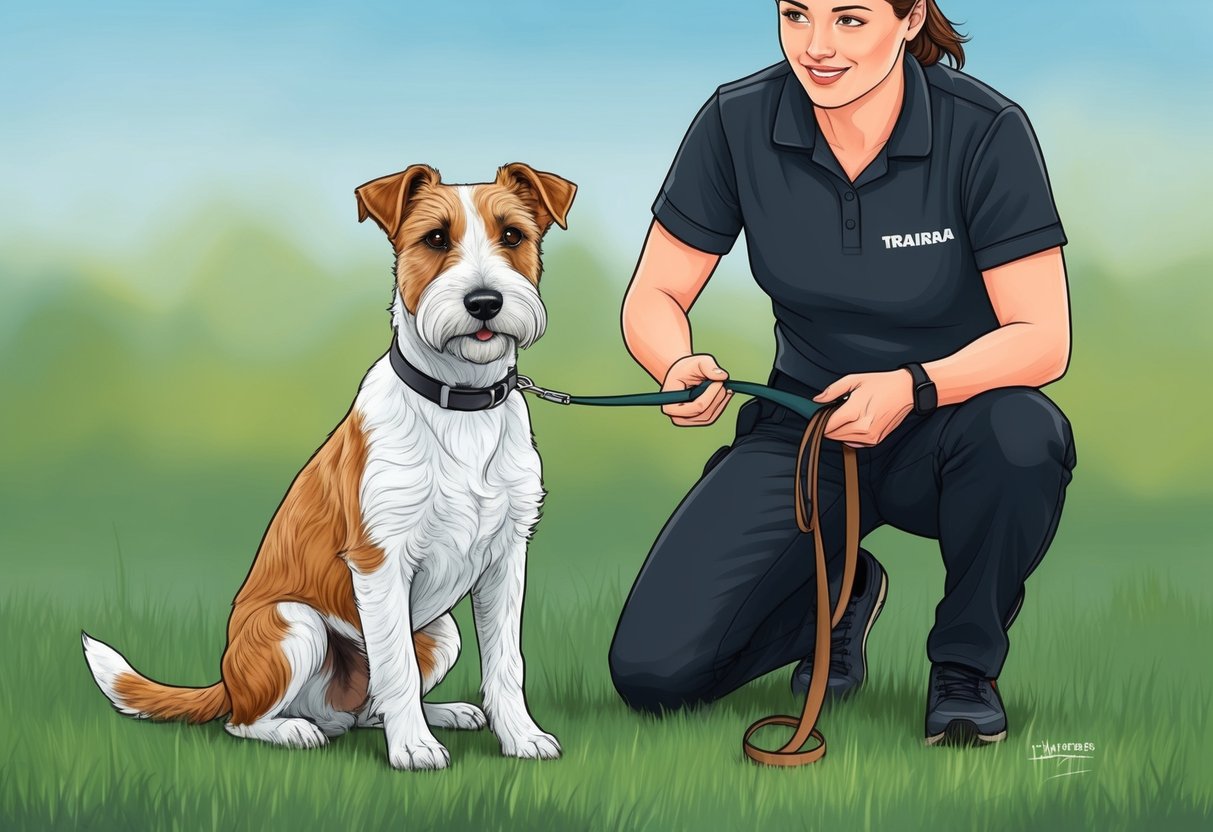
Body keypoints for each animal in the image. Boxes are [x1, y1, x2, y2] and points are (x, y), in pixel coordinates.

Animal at [84, 162, 577, 776]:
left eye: (513, 235)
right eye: (436, 239)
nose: (484, 302)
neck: (459, 406)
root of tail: (225, 680)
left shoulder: (507, 559)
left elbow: (506, 663)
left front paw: (521, 737)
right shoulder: (379, 559)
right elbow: (397, 666)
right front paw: (413, 750)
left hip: (440, 630)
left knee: (371, 706)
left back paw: (441, 713)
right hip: (293, 623)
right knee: (246, 720)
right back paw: (298, 730)